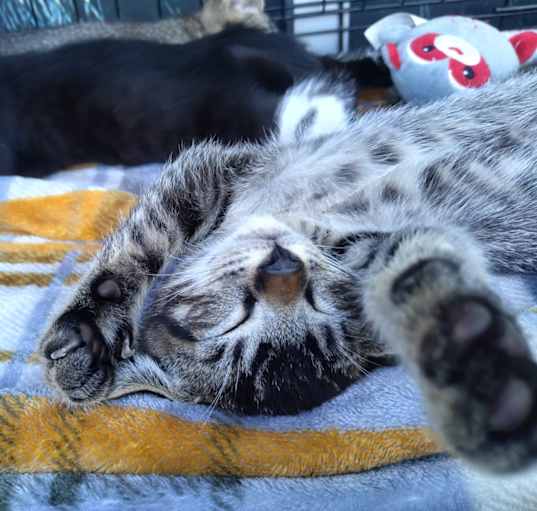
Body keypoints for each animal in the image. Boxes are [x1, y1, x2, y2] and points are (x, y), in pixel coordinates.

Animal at [40, 73, 536, 476]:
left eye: (316, 299)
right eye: (236, 319)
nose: (283, 267)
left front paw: (478, 356)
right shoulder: (215, 170)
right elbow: (149, 234)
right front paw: (87, 326)